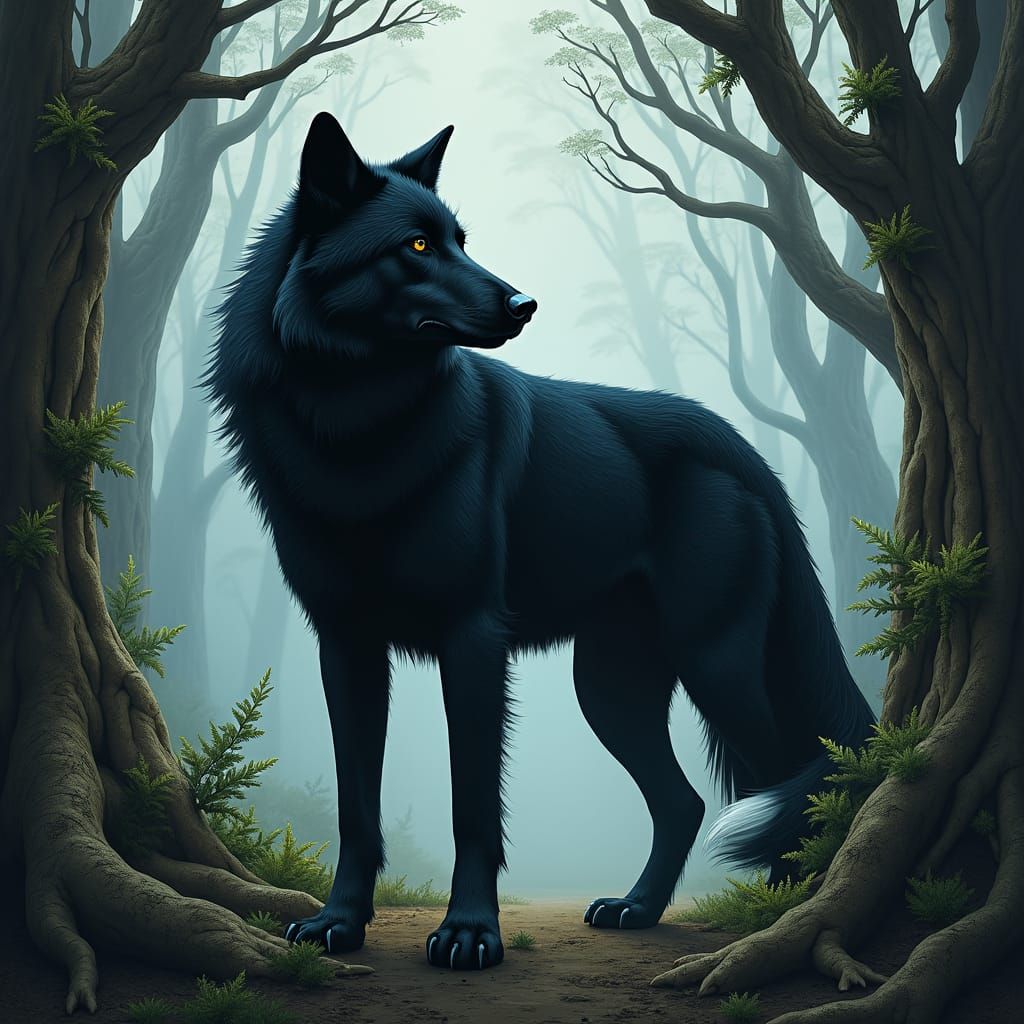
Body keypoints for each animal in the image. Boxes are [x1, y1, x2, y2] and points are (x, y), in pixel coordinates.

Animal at [205, 112, 875, 971]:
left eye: (460, 240)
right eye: (416, 246)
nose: (524, 302)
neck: (357, 423)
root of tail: (734, 443)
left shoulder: (473, 641)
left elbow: (472, 806)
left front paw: (469, 933)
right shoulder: (345, 646)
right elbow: (357, 806)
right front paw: (338, 924)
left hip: (715, 666)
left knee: (797, 777)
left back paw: (778, 924)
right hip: (612, 689)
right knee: (686, 801)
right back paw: (638, 909)